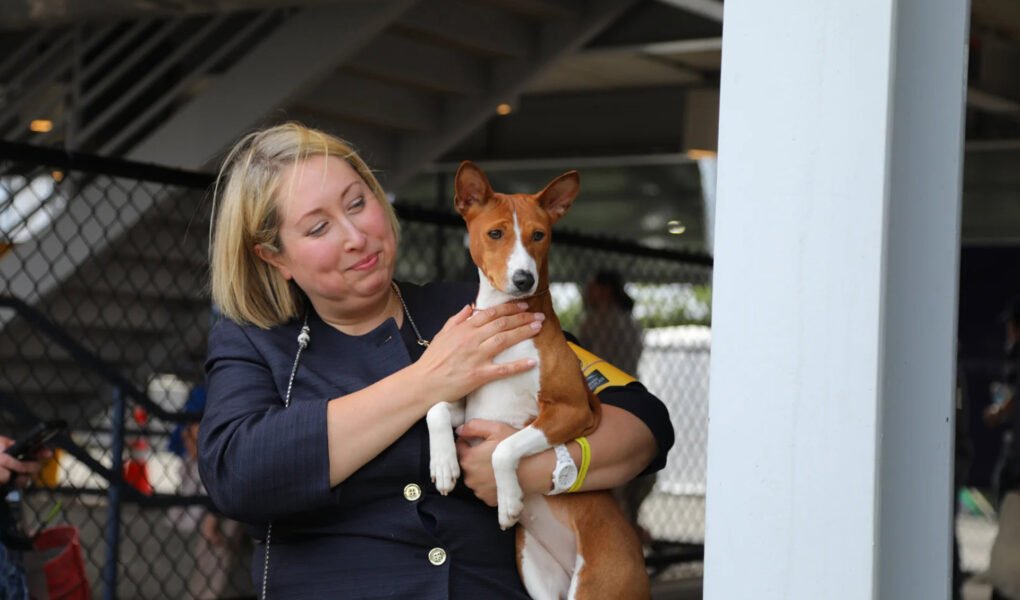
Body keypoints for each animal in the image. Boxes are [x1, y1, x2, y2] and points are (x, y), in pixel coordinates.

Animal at [424, 161, 648, 595]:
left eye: (539, 235)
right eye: (496, 233)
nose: (524, 279)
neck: (507, 323)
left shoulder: (574, 411)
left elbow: (503, 447)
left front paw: (509, 500)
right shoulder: (469, 408)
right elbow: (436, 409)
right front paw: (443, 465)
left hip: (595, 586)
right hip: (537, 574)